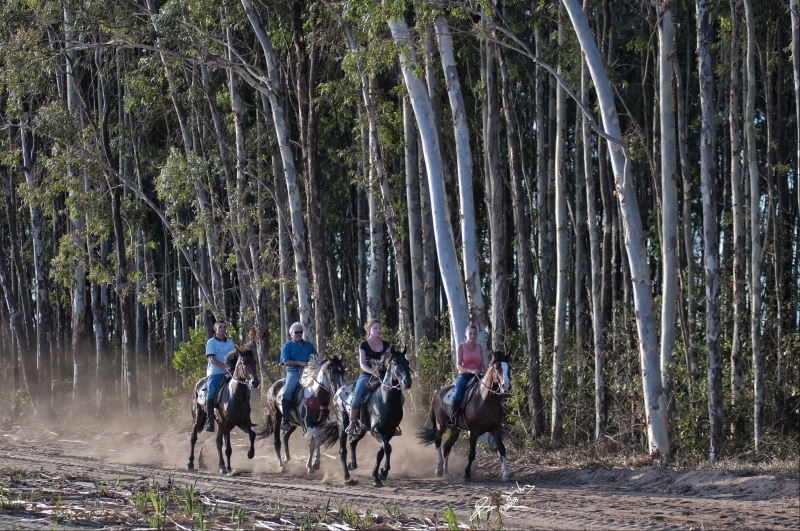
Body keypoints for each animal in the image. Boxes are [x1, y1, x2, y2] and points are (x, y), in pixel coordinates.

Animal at [188, 348, 260, 476]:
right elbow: (226, 446)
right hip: (198, 418)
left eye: (254, 362)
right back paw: (192, 464)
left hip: (219, 424)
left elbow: (252, 435)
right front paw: (225, 467)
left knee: (219, 441)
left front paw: (249, 455)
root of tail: (198, 384)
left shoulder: (242, 423)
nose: (255, 382)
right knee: (194, 438)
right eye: (243, 363)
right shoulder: (226, 424)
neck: (234, 395)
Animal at [318, 348, 412, 488]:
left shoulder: (389, 432)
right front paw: (384, 471)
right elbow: (387, 447)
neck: (386, 400)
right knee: (342, 450)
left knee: (353, 442)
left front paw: (377, 476)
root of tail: (338, 391)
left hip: (361, 428)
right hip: (342, 424)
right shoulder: (376, 430)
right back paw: (347, 477)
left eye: (407, 362)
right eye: (394, 363)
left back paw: (352, 465)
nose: (407, 382)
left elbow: (381, 451)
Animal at [418, 354, 512, 482]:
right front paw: (466, 474)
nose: (506, 387)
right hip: (440, 424)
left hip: (455, 430)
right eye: (497, 368)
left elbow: (502, 449)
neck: (485, 400)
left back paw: (446, 472)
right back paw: (439, 469)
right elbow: (472, 453)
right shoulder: (474, 431)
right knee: (437, 441)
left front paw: (506, 474)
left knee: (447, 447)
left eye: (509, 368)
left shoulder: (495, 428)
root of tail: (438, 394)